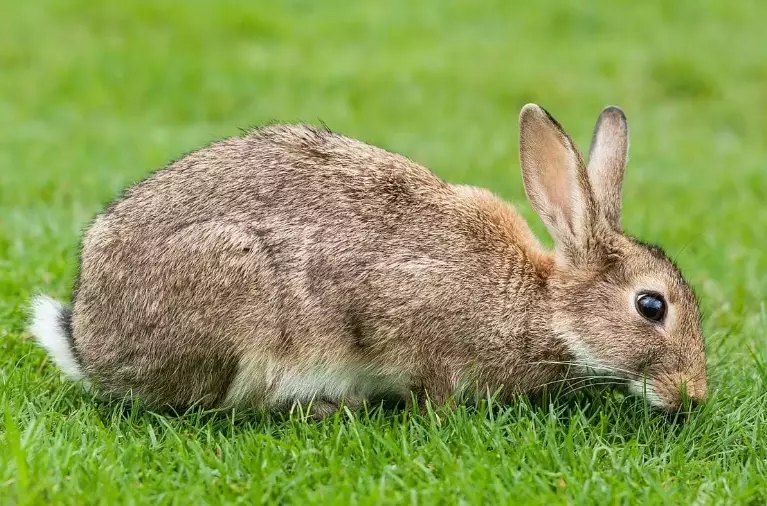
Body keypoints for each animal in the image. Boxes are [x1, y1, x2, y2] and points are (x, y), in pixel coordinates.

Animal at [28, 104, 707, 416]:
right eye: (651, 306)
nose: (694, 395)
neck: (543, 306)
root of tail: (88, 341)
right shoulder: (409, 321)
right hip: (237, 305)